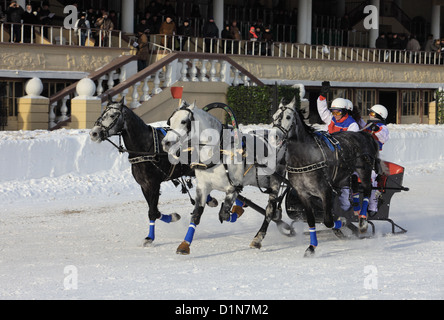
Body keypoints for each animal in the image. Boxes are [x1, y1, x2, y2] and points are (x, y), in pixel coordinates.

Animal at [91, 100, 202, 245]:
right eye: (103, 112)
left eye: (113, 115)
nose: (94, 133)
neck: (146, 148)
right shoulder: (144, 185)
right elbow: (154, 210)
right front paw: (172, 217)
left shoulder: (154, 184)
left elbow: (153, 212)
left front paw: (150, 237)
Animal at [163, 102, 284, 255]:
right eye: (170, 121)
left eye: (184, 121)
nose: (166, 143)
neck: (217, 151)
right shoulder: (203, 187)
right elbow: (196, 215)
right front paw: (184, 245)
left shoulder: (233, 188)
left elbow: (224, 214)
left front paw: (235, 212)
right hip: (262, 180)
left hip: (275, 182)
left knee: (269, 210)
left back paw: (258, 238)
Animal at [280, 99, 380, 256]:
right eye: (274, 116)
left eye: (288, 117)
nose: (276, 135)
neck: (304, 159)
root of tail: (365, 135)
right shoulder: (303, 194)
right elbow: (311, 220)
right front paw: (311, 247)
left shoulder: (325, 191)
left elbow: (328, 220)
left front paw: (343, 222)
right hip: (346, 175)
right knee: (354, 186)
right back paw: (356, 210)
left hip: (364, 171)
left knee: (367, 191)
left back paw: (363, 221)